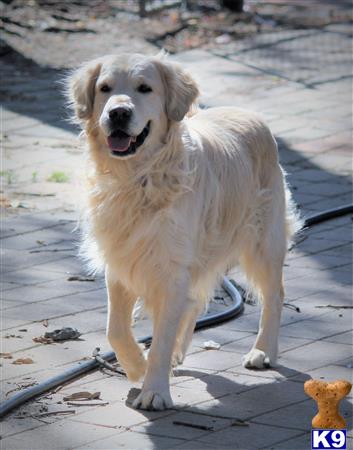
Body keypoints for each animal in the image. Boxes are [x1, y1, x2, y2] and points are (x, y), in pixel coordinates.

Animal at [67, 53, 298, 412]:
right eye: (104, 88)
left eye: (144, 88)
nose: (118, 113)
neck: (138, 179)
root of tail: (252, 115)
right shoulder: (121, 259)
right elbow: (115, 329)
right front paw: (138, 366)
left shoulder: (171, 265)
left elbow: (161, 334)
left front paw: (155, 390)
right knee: (192, 303)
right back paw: (177, 352)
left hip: (263, 241)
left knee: (274, 296)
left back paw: (262, 351)